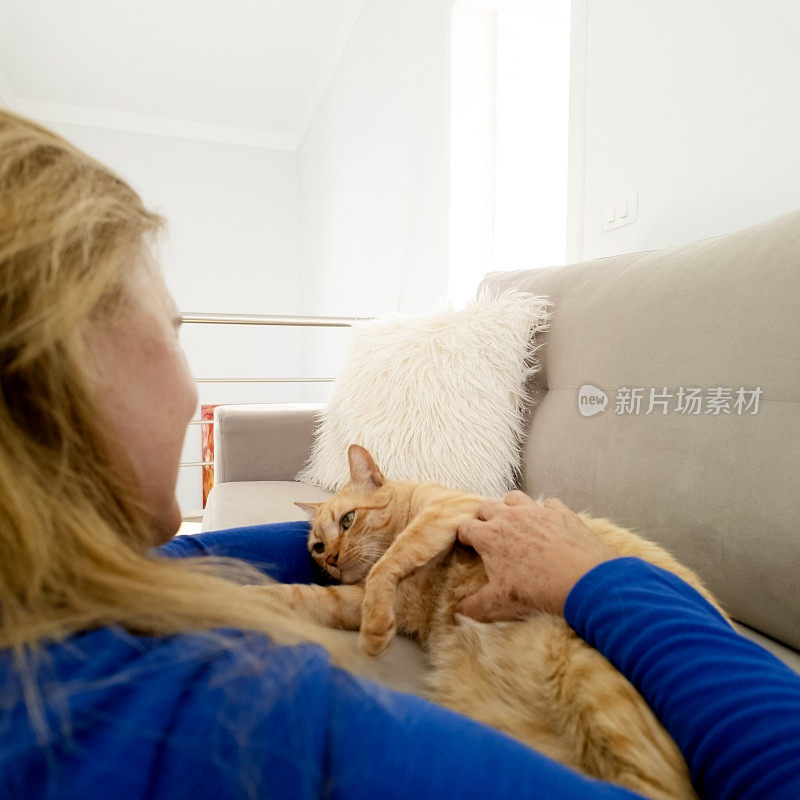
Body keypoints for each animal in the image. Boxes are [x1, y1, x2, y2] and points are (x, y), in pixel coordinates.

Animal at [266, 444, 720, 800]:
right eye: (318, 547)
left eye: (348, 520)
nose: (333, 559)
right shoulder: (352, 598)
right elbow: (294, 596)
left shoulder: (447, 513)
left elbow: (389, 562)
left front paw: (376, 630)